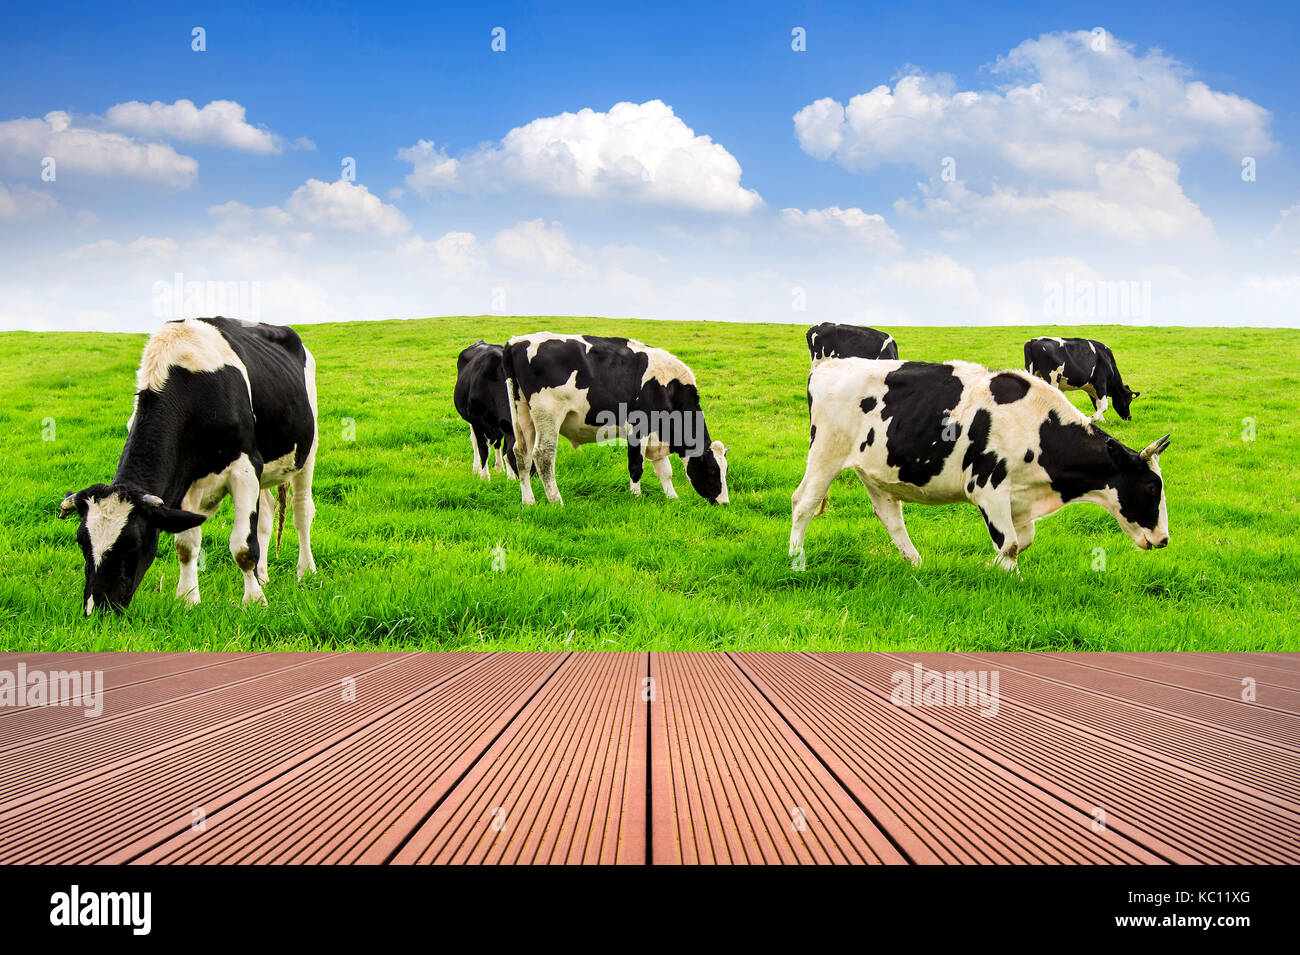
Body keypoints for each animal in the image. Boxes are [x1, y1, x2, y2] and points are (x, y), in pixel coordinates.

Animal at [59, 317, 319, 615]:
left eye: (133, 546)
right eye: (81, 542)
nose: (97, 609)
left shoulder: (244, 467)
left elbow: (242, 546)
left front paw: (254, 601)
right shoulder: (184, 480)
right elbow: (185, 545)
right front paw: (187, 599)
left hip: (308, 450)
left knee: (301, 511)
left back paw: (305, 571)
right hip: (265, 469)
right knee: (266, 514)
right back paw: (263, 576)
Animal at [454, 343, 520, 478]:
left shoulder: (504, 423)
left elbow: (505, 449)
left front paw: (510, 477)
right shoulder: (476, 420)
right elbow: (483, 448)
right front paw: (484, 476)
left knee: (497, 442)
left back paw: (499, 467)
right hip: (470, 420)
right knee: (474, 441)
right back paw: (476, 468)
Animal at [499, 332, 728, 504]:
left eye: (725, 469)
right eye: (712, 470)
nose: (724, 503)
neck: (669, 388)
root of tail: (516, 342)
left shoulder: (657, 435)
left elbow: (665, 470)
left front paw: (672, 498)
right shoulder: (639, 428)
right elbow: (636, 465)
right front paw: (636, 497)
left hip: (522, 412)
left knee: (521, 453)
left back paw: (529, 501)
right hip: (548, 414)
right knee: (543, 455)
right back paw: (556, 501)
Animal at [785, 356, 1175, 566]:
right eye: (1150, 486)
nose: (1164, 539)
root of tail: (827, 366)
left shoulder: (1019, 499)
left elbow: (1022, 540)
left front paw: (989, 566)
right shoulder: (988, 488)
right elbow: (1012, 543)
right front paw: (1006, 574)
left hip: (875, 469)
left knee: (890, 516)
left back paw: (916, 564)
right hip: (826, 453)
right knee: (803, 502)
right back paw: (796, 559)